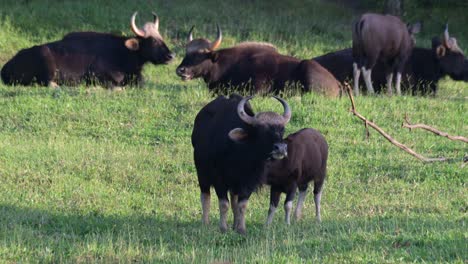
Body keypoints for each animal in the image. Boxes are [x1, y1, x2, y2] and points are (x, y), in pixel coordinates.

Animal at [0, 11, 175, 88]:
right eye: (152, 41)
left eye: (161, 37)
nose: (171, 56)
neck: (124, 54)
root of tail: (6, 67)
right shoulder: (98, 75)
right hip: (45, 58)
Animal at [176, 24, 340, 96]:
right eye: (186, 53)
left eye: (201, 54)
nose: (180, 70)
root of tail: (337, 84)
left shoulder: (259, 86)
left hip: (308, 66)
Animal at [192, 94, 290, 234]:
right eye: (261, 130)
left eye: (282, 129)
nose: (281, 148)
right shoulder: (219, 180)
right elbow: (223, 204)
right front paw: (223, 228)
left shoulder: (249, 182)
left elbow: (242, 205)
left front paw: (241, 228)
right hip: (202, 173)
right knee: (205, 196)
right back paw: (205, 223)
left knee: (234, 201)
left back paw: (234, 224)